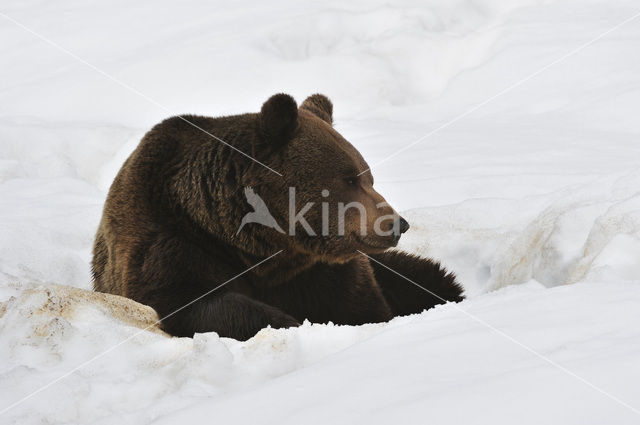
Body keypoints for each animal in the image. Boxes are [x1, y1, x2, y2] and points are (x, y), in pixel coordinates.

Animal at [92, 94, 462, 340]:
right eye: (350, 179)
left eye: (368, 176)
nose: (395, 223)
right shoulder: (173, 245)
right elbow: (193, 304)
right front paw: (289, 323)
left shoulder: (316, 271)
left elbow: (363, 305)